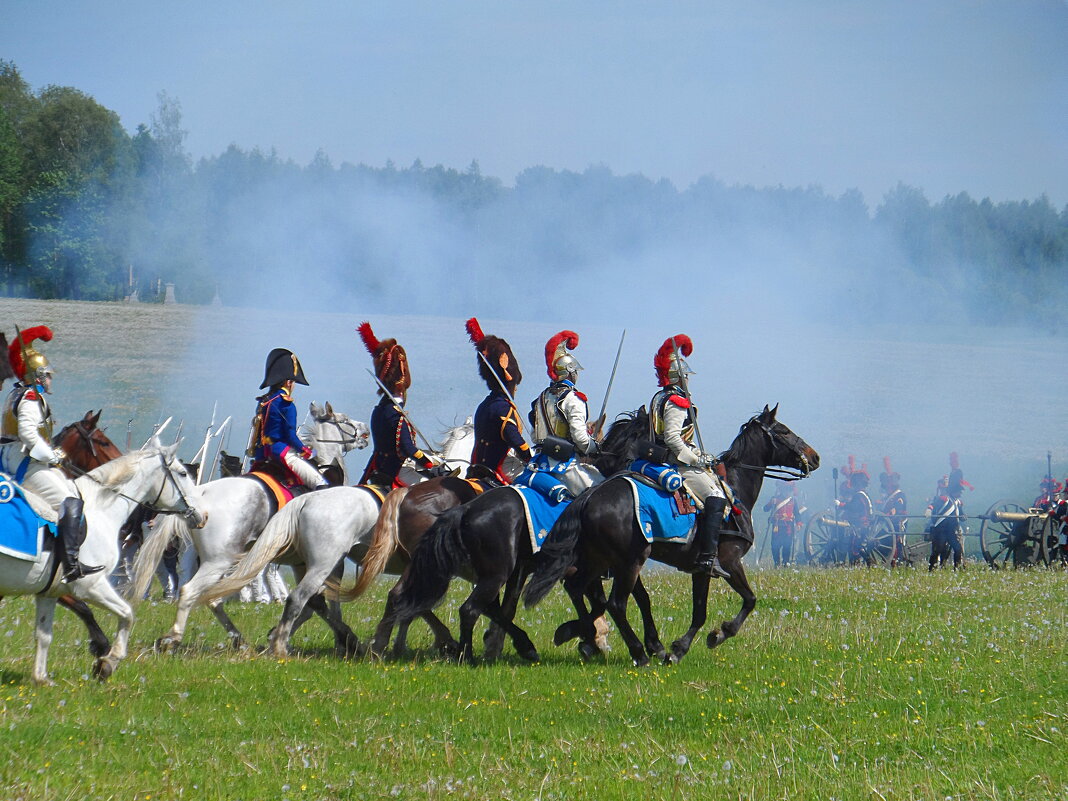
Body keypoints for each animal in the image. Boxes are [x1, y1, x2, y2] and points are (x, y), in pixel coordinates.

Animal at [0, 442, 202, 687]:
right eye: (182, 473)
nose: (202, 514)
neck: (101, 511)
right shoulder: (91, 586)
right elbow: (127, 613)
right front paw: (108, 662)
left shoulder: (49, 593)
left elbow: (44, 635)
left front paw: (41, 678)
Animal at [130, 401, 367, 653]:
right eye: (345, 420)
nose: (365, 433)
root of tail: (200, 494)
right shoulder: (331, 560)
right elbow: (326, 601)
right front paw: (344, 638)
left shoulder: (301, 561)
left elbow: (314, 604)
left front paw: (280, 635)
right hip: (219, 562)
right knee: (192, 592)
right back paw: (174, 638)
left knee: (213, 599)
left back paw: (238, 639)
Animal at [523, 407, 815, 666]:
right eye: (784, 431)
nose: (814, 457)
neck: (734, 489)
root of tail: (588, 496)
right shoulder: (729, 561)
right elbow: (748, 600)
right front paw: (711, 637)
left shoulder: (701, 570)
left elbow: (698, 612)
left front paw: (677, 648)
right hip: (629, 561)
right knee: (615, 603)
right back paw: (637, 653)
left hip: (599, 560)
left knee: (578, 589)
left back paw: (579, 634)